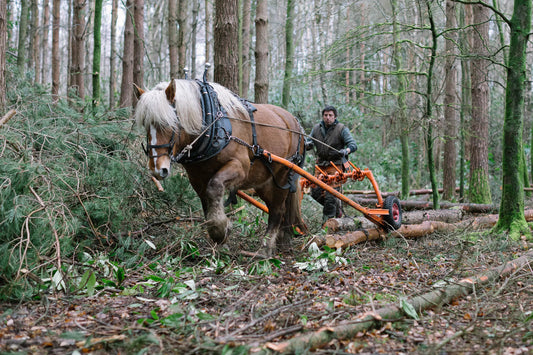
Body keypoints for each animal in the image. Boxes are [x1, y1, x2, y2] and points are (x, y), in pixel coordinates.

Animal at [134, 79, 308, 258]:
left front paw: (221, 229)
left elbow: (214, 187)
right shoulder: (197, 178)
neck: (211, 126)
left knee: (278, 210)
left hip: (282, 177)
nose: (157, 169)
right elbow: (207, 204)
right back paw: (281, 241)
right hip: (264, 183)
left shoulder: (240, 167)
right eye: (146, 125)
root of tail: (295, 123)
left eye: (168, 123)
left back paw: (265, 249)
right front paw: (220, 236)